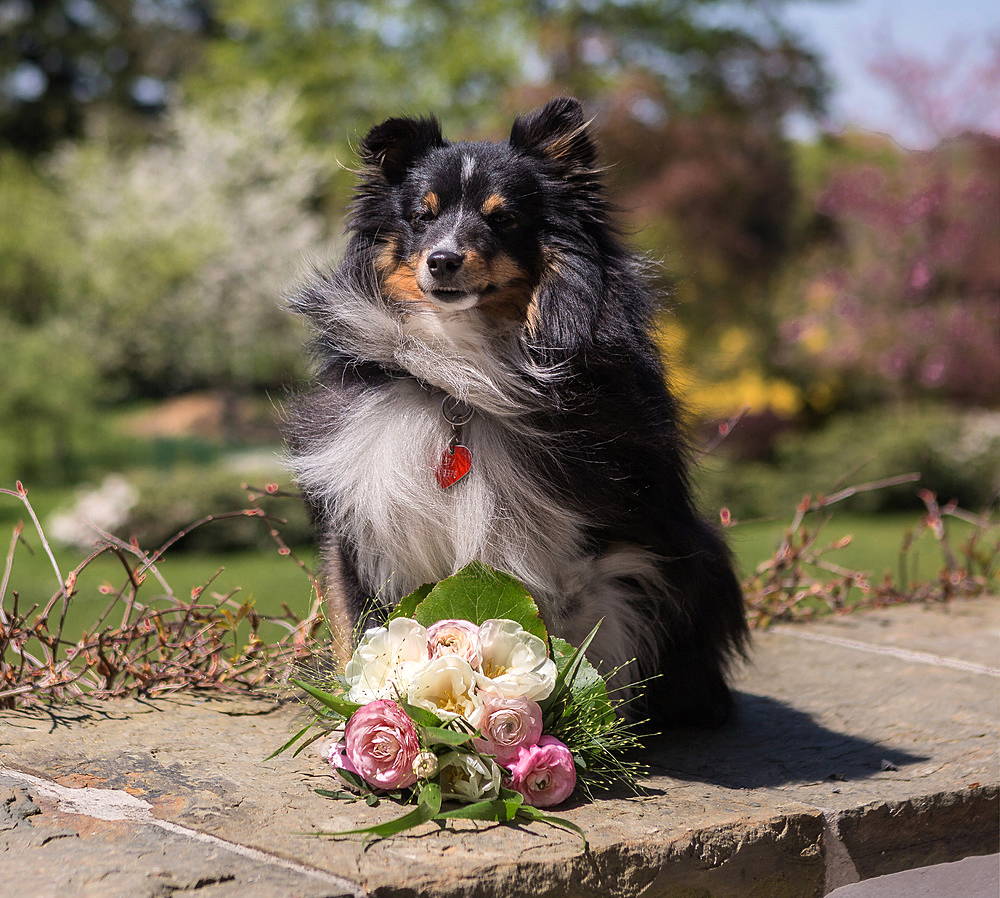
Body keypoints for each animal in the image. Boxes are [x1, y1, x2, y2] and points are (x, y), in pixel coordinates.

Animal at [286, 98, 748, 728]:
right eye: (422, 216)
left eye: (502, 218)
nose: (443, 261)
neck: (460, 377)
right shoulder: (361, 519)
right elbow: (357, 628)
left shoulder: (567, 542)